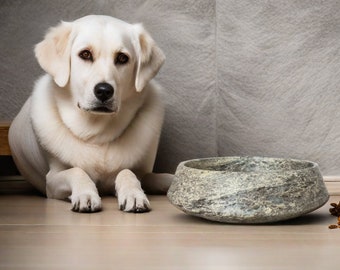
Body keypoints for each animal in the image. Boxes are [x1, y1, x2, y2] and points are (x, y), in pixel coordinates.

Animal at [8, 14, 173, 213]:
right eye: (85, 54)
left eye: (122, 58)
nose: (104, 91)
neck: (97, 135)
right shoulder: (52, 180)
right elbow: (76, 171)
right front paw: (85, 194)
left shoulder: (141, 172)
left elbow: (128, 172)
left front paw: (134, 194)